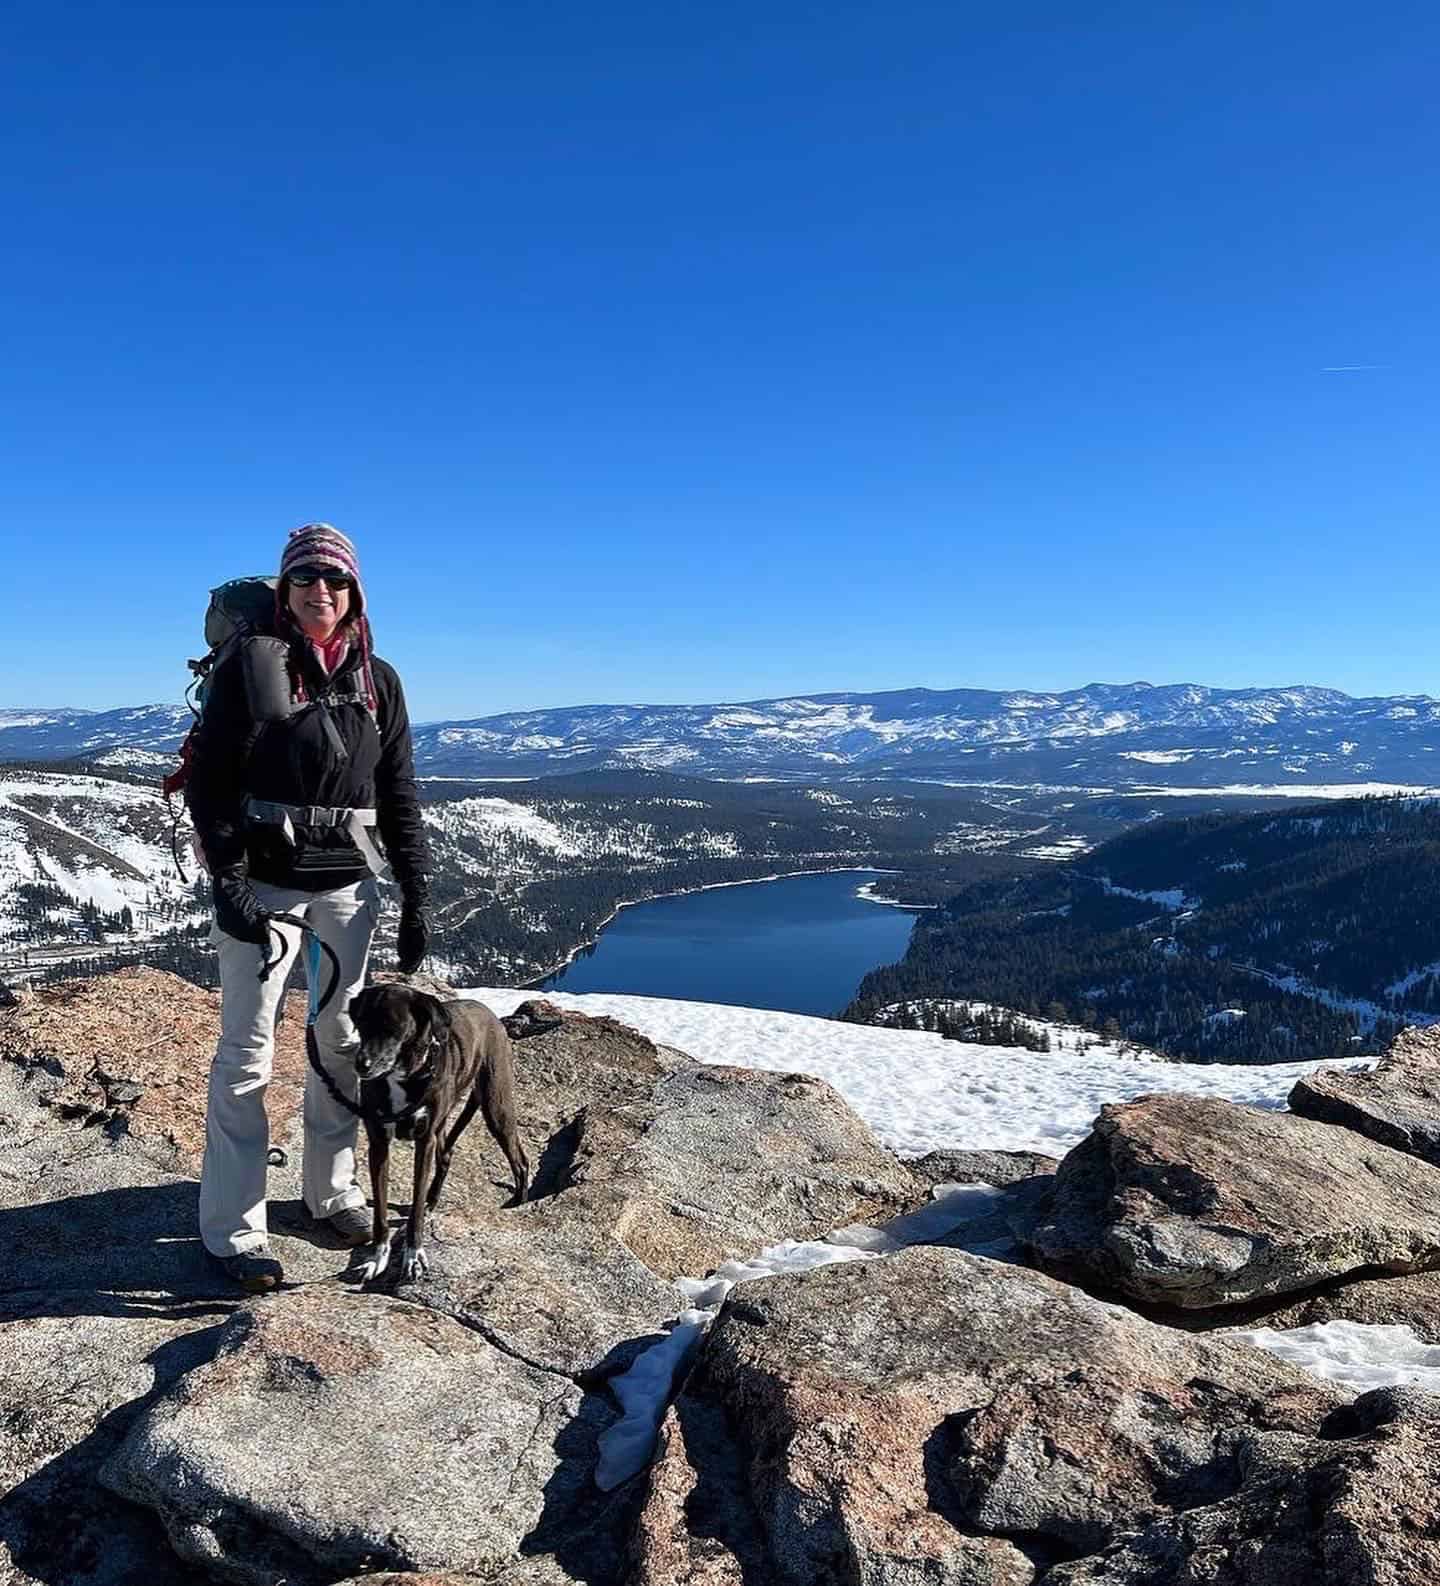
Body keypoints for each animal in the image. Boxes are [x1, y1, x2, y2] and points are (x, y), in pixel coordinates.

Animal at [345, 983, 532, 1281]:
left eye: (394, 1027)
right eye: (361, 1023)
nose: (362, 1065)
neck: (402, 1076)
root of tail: (488, 1012)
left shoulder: (424, 1141)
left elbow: (415, 1208)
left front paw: (413, 1256)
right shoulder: (378, 1145)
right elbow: (381, 1214)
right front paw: (378, 1257)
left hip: (496, 1107)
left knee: (520, 1160)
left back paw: (518, 1202)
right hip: (446, 1123)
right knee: (446, 1156)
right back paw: (433, 1200)